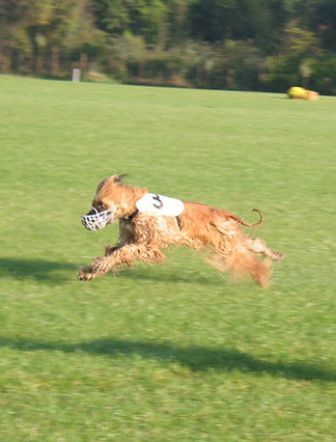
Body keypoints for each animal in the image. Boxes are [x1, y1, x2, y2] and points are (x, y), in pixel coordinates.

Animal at [79, 175, 284, 286]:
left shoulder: (149, 244)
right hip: (229, 239)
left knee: (249, 259)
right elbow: (112, 253)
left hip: (226, 244)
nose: (84, 220)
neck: (135, 208)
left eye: (100, 204)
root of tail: (224, 213)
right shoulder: (128, 239)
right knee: (253, 244)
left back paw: (262, 277)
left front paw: (96, 267)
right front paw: (90, 271)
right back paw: (275, 255)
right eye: (93, 202)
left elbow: (121, 253)